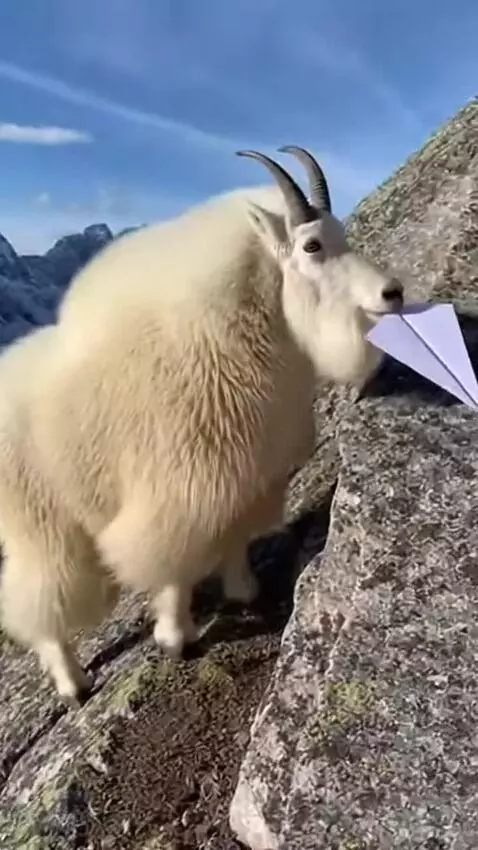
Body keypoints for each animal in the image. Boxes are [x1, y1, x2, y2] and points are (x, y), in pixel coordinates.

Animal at [0, 146, 404, 703]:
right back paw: (71, 681)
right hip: (43, 526)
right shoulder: (181, 488)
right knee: (41, 603)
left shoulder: (248, 475)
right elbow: (175, 567)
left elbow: (233, 539)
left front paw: (244, 592)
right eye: (313, 245)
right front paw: (176, 637)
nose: (392, 292)